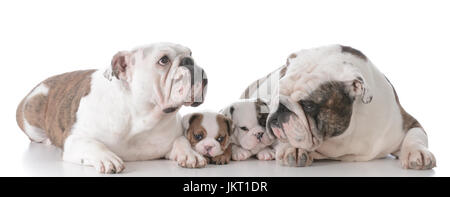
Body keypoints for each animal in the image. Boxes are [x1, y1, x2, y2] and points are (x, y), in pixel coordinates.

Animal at [15, 42, 209, 173]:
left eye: (191, 53)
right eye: (163, 60)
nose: (189, 61)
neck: (142, 116)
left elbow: (181, 140)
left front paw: (190, 153)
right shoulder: (75, 140)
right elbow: (92, 144)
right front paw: (106, 157)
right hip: (31, 115)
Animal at [243, 44, 436, 169]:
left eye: (308, 105)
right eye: (274, 98)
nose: (280, 109)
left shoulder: (406, 123)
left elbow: (415, 137)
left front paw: (417, 153)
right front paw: (295, 149)